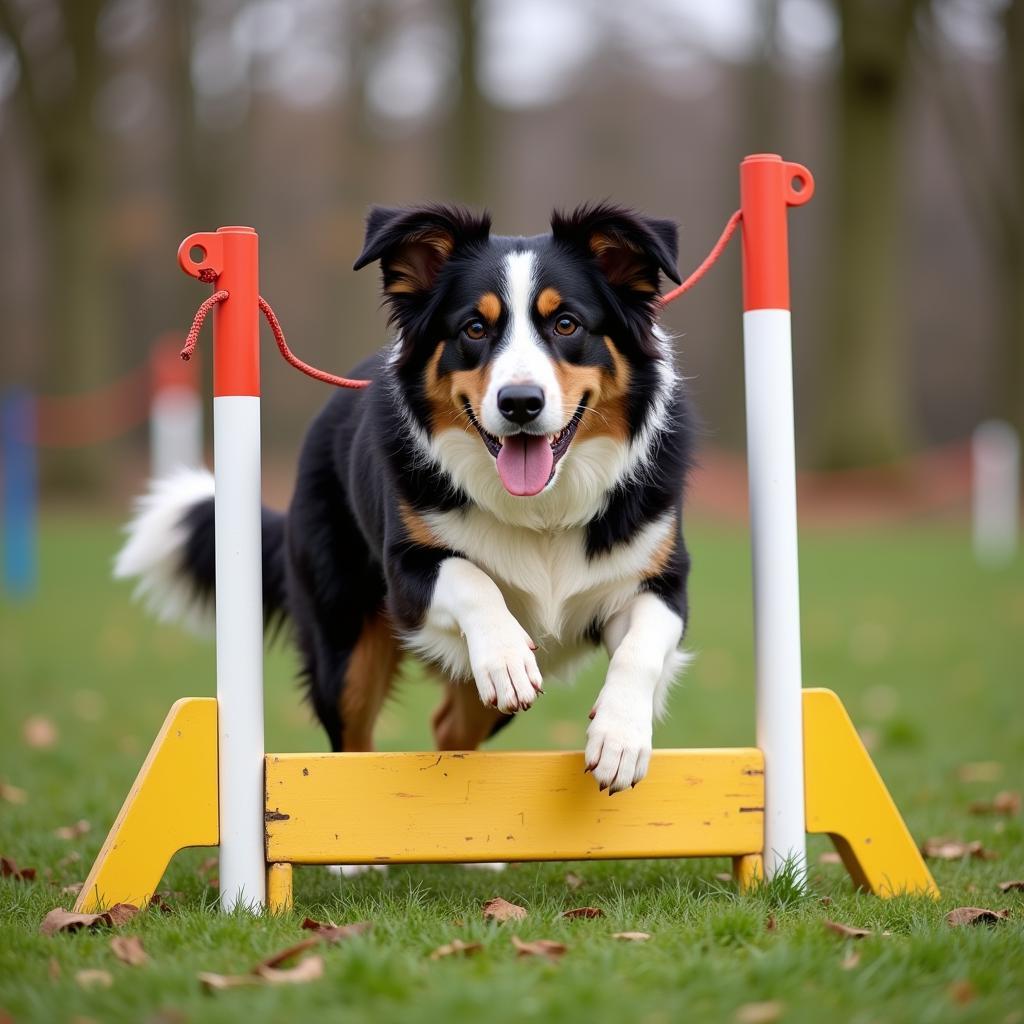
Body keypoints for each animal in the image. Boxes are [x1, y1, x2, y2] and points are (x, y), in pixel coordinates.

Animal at [117, 203, 696, 794]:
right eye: (474, 328)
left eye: (566, 324)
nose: (520, 403)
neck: (544, 510)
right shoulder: (406, 574)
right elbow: (471, 578)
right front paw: (507, 655)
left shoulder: (661, 578)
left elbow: (642, 646)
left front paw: (621, 738)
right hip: (344, 643)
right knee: (352, 746)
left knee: (450, 728)